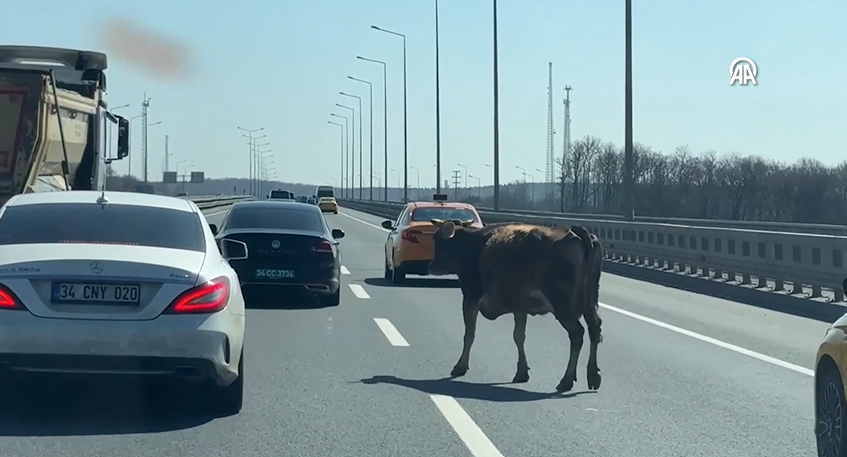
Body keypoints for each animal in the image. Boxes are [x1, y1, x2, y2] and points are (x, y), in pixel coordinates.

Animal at [430, 219, 604, 390]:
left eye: (438, 241)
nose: (430, 265)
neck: (469, 243)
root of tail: (576, 230)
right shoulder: (520, 307)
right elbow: (519, 336)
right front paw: (521, 372)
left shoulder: (470, 297)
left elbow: (469, 334)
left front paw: (460, 367)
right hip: (590, 301)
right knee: (594, 329)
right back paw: (593, 376)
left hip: (562, 306)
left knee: (577, 333)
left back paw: (566, 380)